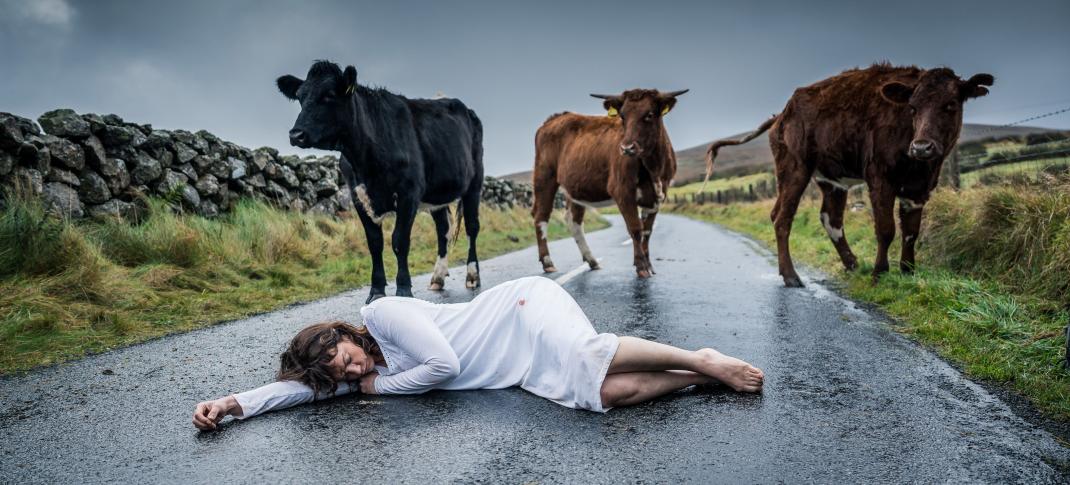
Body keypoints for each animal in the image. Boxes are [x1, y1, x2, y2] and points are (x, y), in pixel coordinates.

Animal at [276, 61, 485, 301]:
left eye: (329, 95)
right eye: (300, 97)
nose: (296, 134)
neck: (366, 159)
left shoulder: (408, 194)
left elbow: (399, 241)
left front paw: (403, 290)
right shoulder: (359, 196)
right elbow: (375, 243)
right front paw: (376, 291)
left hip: (475, 182)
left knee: (472, 227)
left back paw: (472, 276)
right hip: (436, 195)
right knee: (443, 230)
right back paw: (438, 278)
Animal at [530, 86, 689, 276]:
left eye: (649, 114)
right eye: (623, 116)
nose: (627, 148)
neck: (653, 167)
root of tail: (555, 118)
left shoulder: (658, 195)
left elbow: (647, 231)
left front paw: (649, 265)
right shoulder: (622, 191)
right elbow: (636, 229)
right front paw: (641, 267)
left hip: (575, 188)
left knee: (574, 221)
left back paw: (592, 261)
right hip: (544, 177)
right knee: (541, 216)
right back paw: (547, 262)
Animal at [706, 62, 988, 284]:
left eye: (951, 105)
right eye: (912, 107)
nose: (921, 147)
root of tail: (782, 114)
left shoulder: (919, 187)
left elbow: (911, 231)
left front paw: (908, 272)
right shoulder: (880, 179)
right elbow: (886, 229)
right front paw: (879, 274)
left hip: (830, 179)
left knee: (830, 218)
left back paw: (852, 263)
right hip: (794, 168)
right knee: (782, 217)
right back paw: (791, 276)